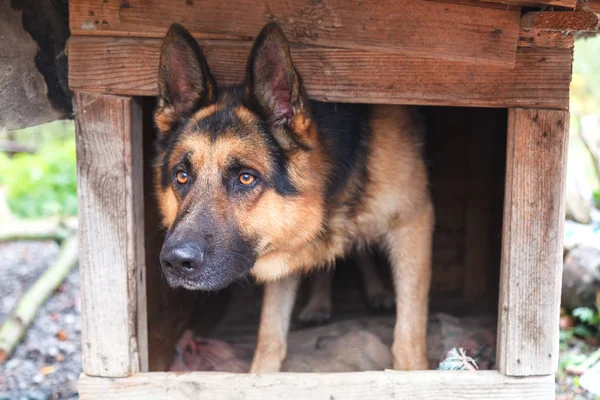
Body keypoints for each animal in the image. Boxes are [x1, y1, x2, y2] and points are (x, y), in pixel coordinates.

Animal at [155, 21, 434, 372]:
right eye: (181, 175)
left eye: (246, 178)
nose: (175, 262)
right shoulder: (283, 240)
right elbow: (270, 335)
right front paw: (261, 374)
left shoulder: (414, 222)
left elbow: (408, 336)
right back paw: (318, 304)